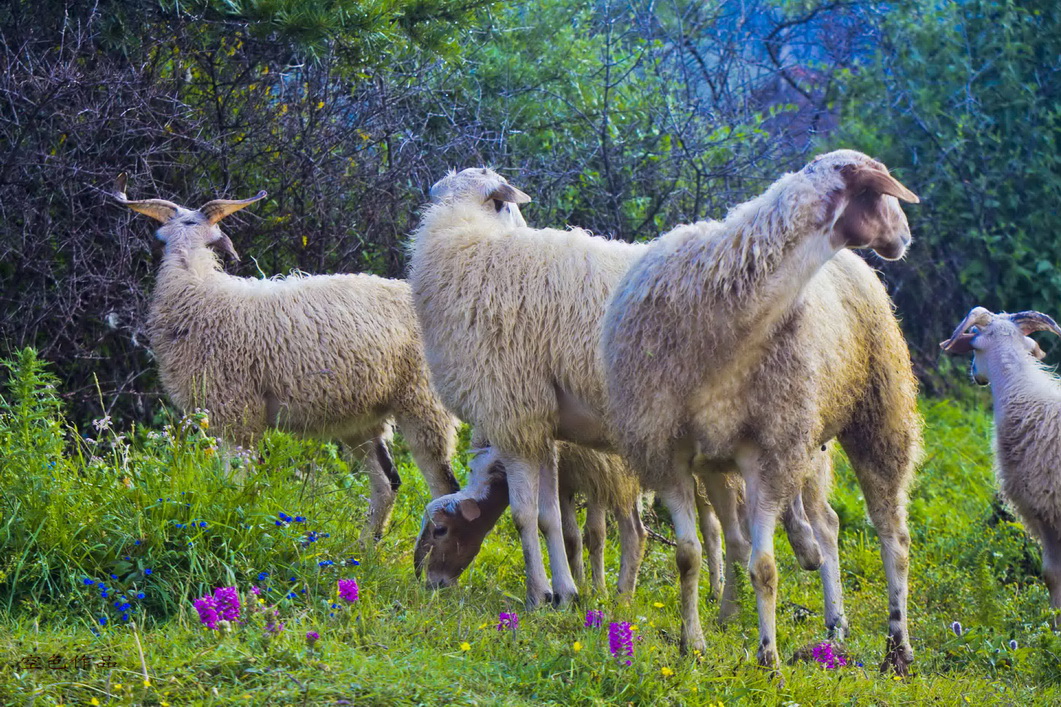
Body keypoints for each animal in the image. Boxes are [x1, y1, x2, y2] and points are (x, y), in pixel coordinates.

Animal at [110, 175, 460, 539]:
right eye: (162, 239)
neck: (197, 289)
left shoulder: (239, 413)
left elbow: (235, 482)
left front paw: (232, 526)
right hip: (362, 418)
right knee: (387, 484)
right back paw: (363, 548)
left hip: (423, 401)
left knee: (444, 487)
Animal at [602, 149, 925, 670]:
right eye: (882, 194)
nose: (905, 237)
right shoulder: (667, 449)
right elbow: (689, 555)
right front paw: (692, 645)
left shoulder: (769, 452)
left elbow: (765, 566)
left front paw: (768, 657)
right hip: (770, 447)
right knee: (824, 524)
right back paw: (831, 625)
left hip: (877, 414)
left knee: (892, 535)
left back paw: (897, 648)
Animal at [946, 305, 1061, 624]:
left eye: (973, 342)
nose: (975, 374)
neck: (1021, 391)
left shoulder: (1045, 509)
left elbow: (1052, 575)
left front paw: (1054, 626)